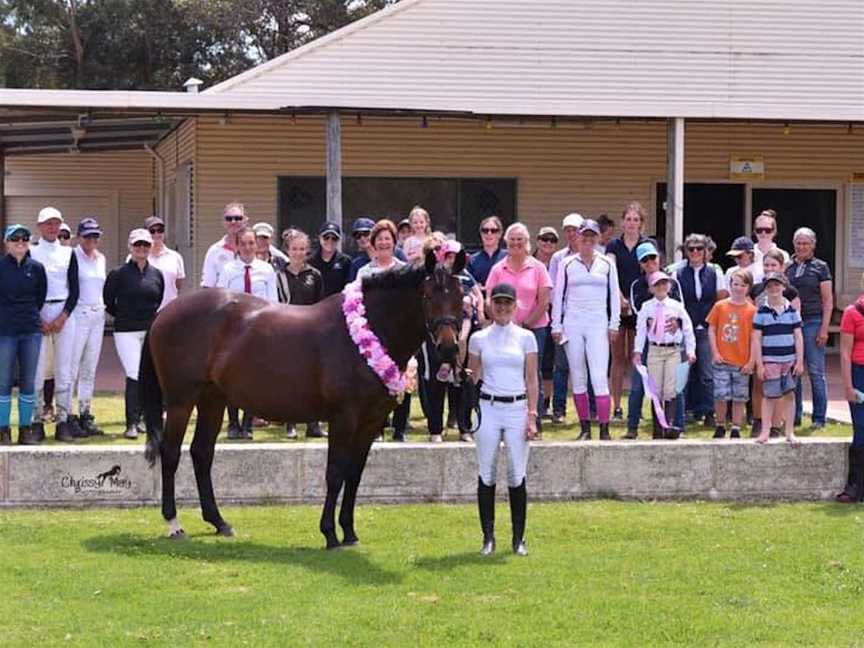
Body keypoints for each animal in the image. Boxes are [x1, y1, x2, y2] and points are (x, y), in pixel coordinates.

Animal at [138, 251, 466, 548]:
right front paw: (330, 534)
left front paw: (349, 532)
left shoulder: (370, 421)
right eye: (427, 295)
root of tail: (165, 311)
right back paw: (173, 523)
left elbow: (354, 475)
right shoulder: (344, 417)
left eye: (460, 295)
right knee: (171, 453)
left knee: (202, 453)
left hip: (212, 398)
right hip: (181, 400)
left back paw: (219, 522)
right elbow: (335, 473)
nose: (448, 348)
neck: (362, 333)